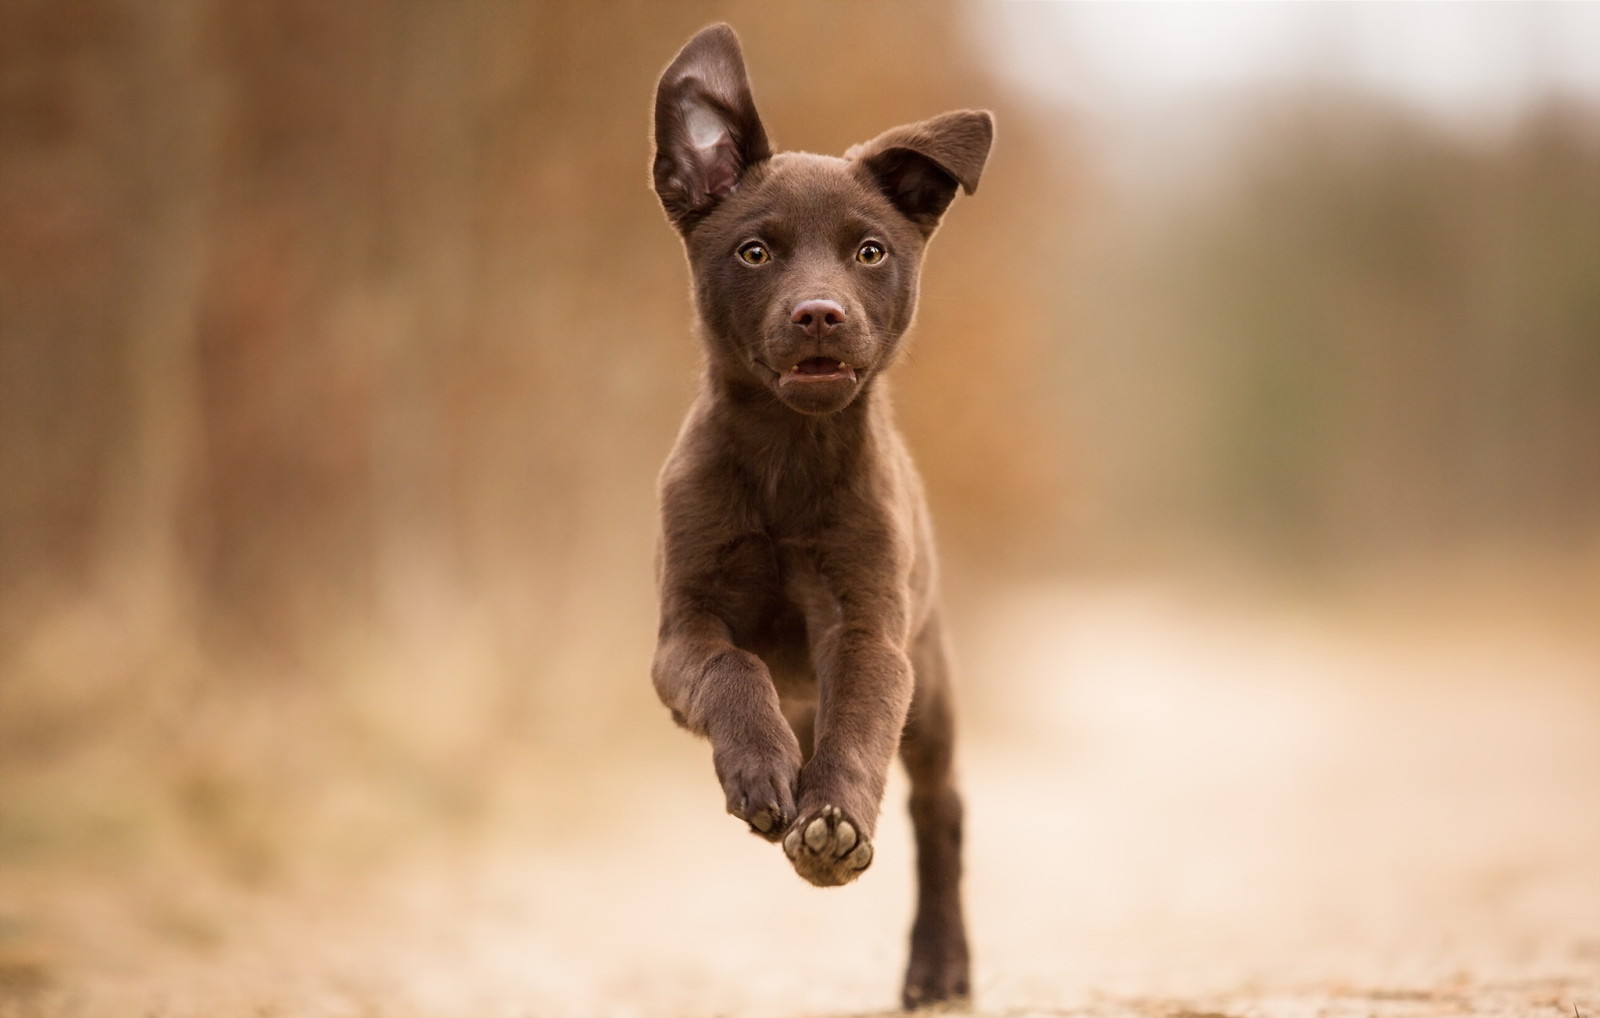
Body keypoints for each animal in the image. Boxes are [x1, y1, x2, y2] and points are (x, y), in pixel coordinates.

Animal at [646, 23, 985, 1011]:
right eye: (755, 253)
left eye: (869, 252)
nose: (820, 315)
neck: (787, 462)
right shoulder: (680, 634)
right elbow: (731, 669)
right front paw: (762, 773)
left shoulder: (873, 630)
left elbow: (860, 725)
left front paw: (832, 825)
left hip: (934, 681)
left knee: (940, 812)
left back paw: (939, 965)